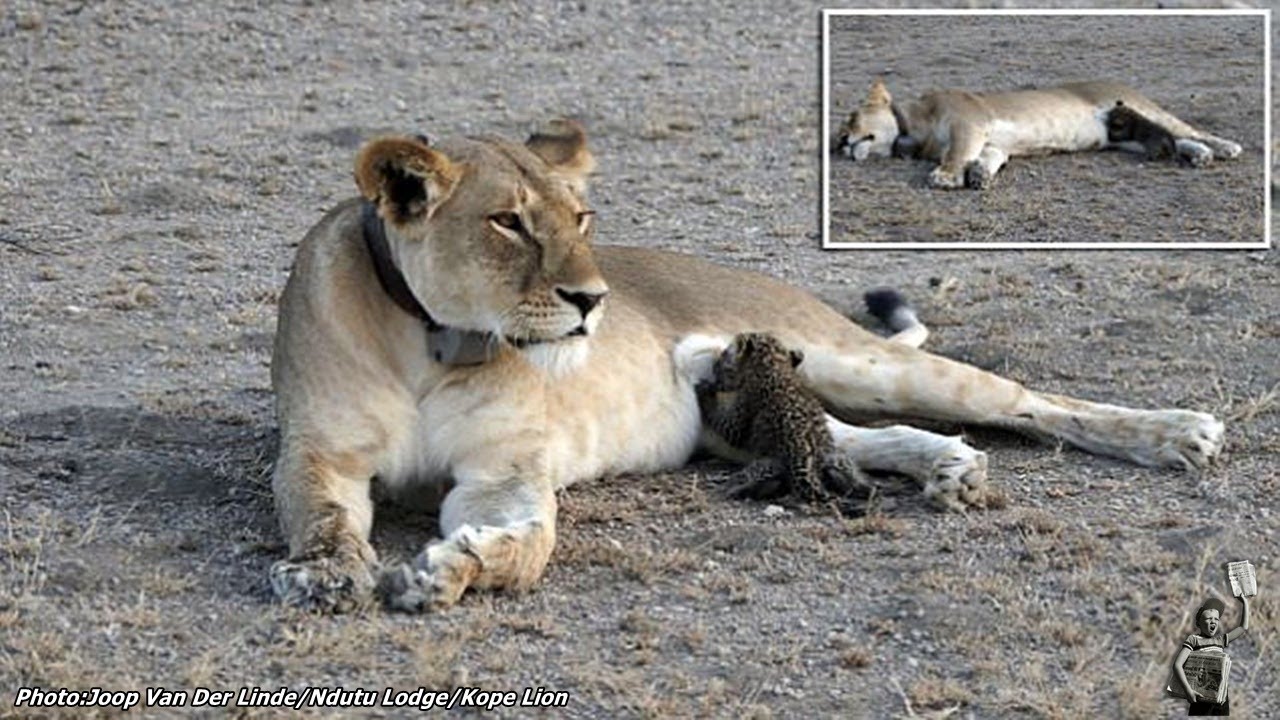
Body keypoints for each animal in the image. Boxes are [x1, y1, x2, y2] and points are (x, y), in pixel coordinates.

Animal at [269, 120, 1225, 613]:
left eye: (582, 216)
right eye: (507, 222)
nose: (593, 299)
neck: (437, 340)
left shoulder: (506, 470)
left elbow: (529, 544)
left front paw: (453, 568)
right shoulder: (316, 453)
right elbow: (323, 514)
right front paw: (326, 570)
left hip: (851, 358)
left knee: (1024, 399)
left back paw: (1178, 433)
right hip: (747, 410)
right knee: (849, 437)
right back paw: (948, 467)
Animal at [834, 79, 1242, 189]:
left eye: (850, 119)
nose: (839, 145)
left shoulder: (968, 123)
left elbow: (957, 152)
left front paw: (946, 176)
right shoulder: (992, 142)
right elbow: (988, 157)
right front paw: (979, 175)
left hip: (1144, 108)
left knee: (1190, 128)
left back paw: (1224, 147)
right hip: (1122, 139)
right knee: (1175, 138)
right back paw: (1198, 155)